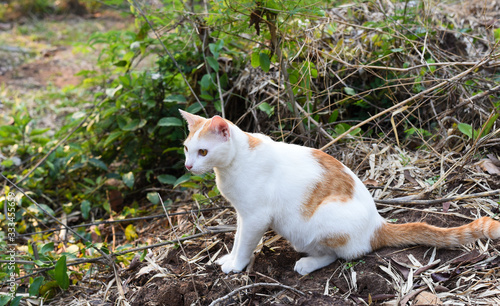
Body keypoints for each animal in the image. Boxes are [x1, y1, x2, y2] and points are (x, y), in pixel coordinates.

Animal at [180, 110, 500, 274]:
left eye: (203, 151)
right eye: (186, 148)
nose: (187, 165)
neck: (233, 164)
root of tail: (377, 225)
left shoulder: (256, 217)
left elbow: (245, 243)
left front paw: (237, 265)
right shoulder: (242, 215)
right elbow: (237, 239)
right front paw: (230, 259)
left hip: (320, 221)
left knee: (338, 255)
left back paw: (306, 264)